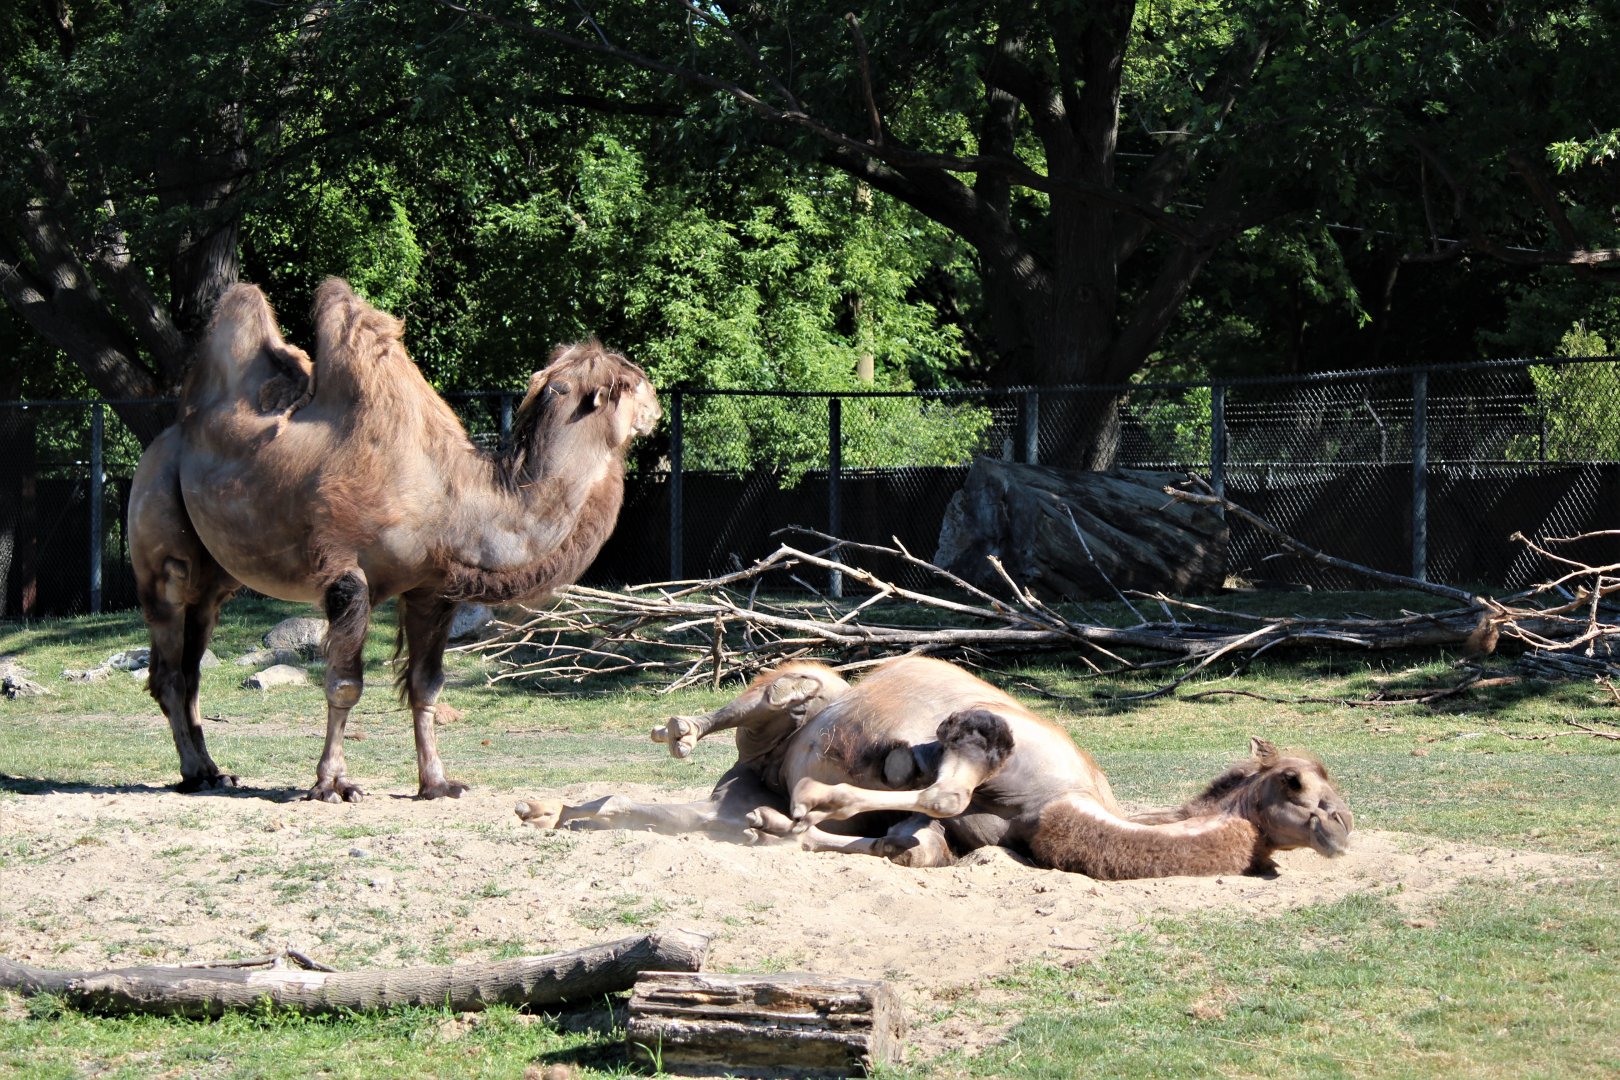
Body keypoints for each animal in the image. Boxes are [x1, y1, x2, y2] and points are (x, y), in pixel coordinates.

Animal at [129, 278, 660, 802]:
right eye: (631, 381)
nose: (655, 407)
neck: (453, 498)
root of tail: (166, 440)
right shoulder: (346, 576)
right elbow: (345, 684)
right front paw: (333, 784)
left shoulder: (431, 588)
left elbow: (426, 686)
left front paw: (437, 783)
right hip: (159, 531)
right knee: (169, 666)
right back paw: (195, 772)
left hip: (215, 577)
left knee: (193, 661)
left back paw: (213, 771)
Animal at [518, 656, 1352, 879]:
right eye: (1298, 783)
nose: (1342, 825)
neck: (1064, 801)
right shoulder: (979, 738)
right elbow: (940, 787)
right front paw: (814, 806)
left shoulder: (977, 823)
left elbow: (918, 839)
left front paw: (786, 827)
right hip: (798, 689)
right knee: (775, 691)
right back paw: (679, 733)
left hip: (746, 773)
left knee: (686, 809)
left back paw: (557, 811)